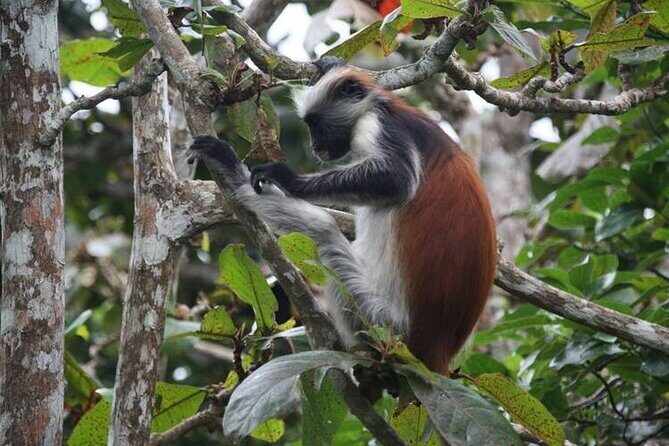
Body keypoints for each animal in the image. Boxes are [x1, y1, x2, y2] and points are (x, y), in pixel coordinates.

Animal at [188, 58, 496, 374]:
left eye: (315, 123)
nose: (314, 146)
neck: (385, 106)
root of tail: (437, 347)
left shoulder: (378, 126)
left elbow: (396, 179)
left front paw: (287, 179)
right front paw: (331, 63)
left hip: (381, 323)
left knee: (324, 231)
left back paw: (236, 177)